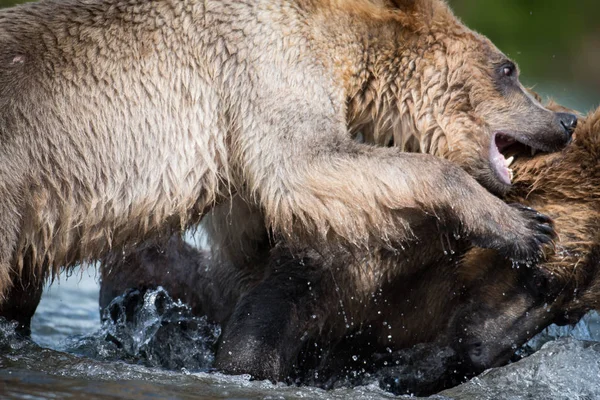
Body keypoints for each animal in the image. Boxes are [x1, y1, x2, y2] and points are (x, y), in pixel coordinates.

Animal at [0, 0, 576, 332]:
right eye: (508, 69)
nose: (566, 119)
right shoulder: (265, 61)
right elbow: (306, 162)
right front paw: (526, 226)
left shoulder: (234, 134)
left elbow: (246, 234)